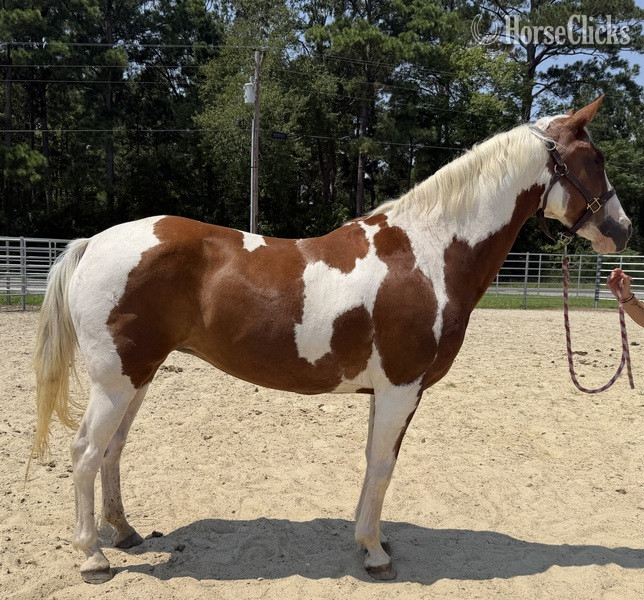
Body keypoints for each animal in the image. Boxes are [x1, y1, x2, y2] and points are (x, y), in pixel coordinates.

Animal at [32, 96, 631, 583]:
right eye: (596, 158)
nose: (623, 230)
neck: (429, 252)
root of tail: (95, 243)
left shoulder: (386, 392)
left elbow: (373, 463)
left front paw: (369, 541)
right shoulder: (401, 389)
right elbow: (383, 465)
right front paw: (375, 554)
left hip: (139, 376)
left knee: (112, 449)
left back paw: (123, 532)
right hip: (116, 379)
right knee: (85, 451)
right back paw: (93, 557)